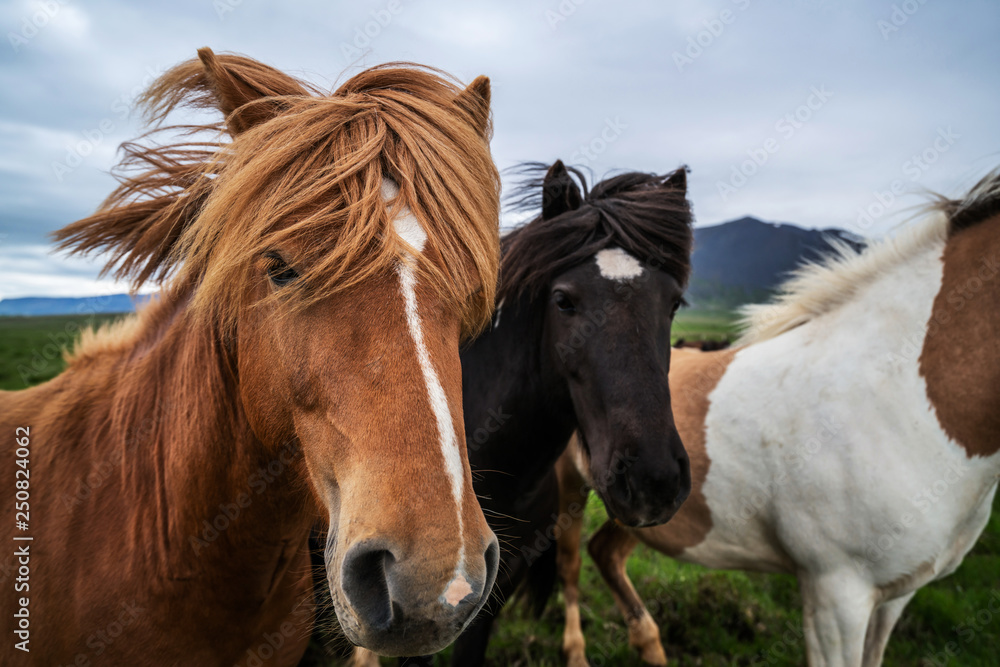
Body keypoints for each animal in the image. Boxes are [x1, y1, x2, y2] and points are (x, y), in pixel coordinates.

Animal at [556, 174, 1000, 667]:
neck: (896, 396)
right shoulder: (836, 595)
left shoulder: (895, 597)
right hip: (571, 487)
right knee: (570, 565)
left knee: (606, 553)